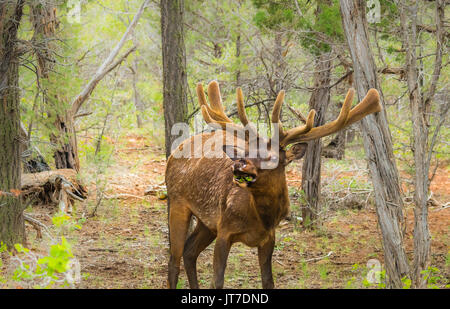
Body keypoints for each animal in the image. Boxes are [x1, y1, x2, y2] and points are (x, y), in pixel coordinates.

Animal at [163, 80, 382, 288]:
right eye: (246, 151)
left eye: (273, 157)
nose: (239, 164)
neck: (261, 217)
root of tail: (174, 153)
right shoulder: (225, 230)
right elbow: (217, 281)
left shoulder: (268, 237)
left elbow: (268, 281)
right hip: (178, 202)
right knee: (174, 260)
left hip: (207, 222)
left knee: (189, 252)